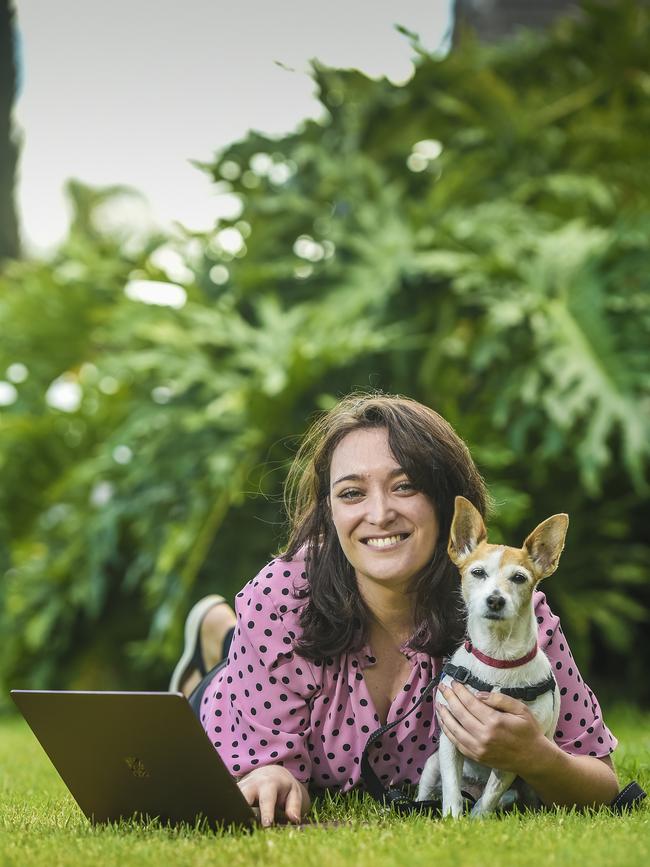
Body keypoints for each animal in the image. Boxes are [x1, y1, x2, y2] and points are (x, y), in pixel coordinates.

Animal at [416, 498, 568, 816]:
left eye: (519, 578)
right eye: (477, 573)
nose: (495, 599)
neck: (497, 660)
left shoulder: (517, 751)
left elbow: (488, 798)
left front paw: (475, 820)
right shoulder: (449, 741)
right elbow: (451, 789)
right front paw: (452, 818)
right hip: (432, 765)